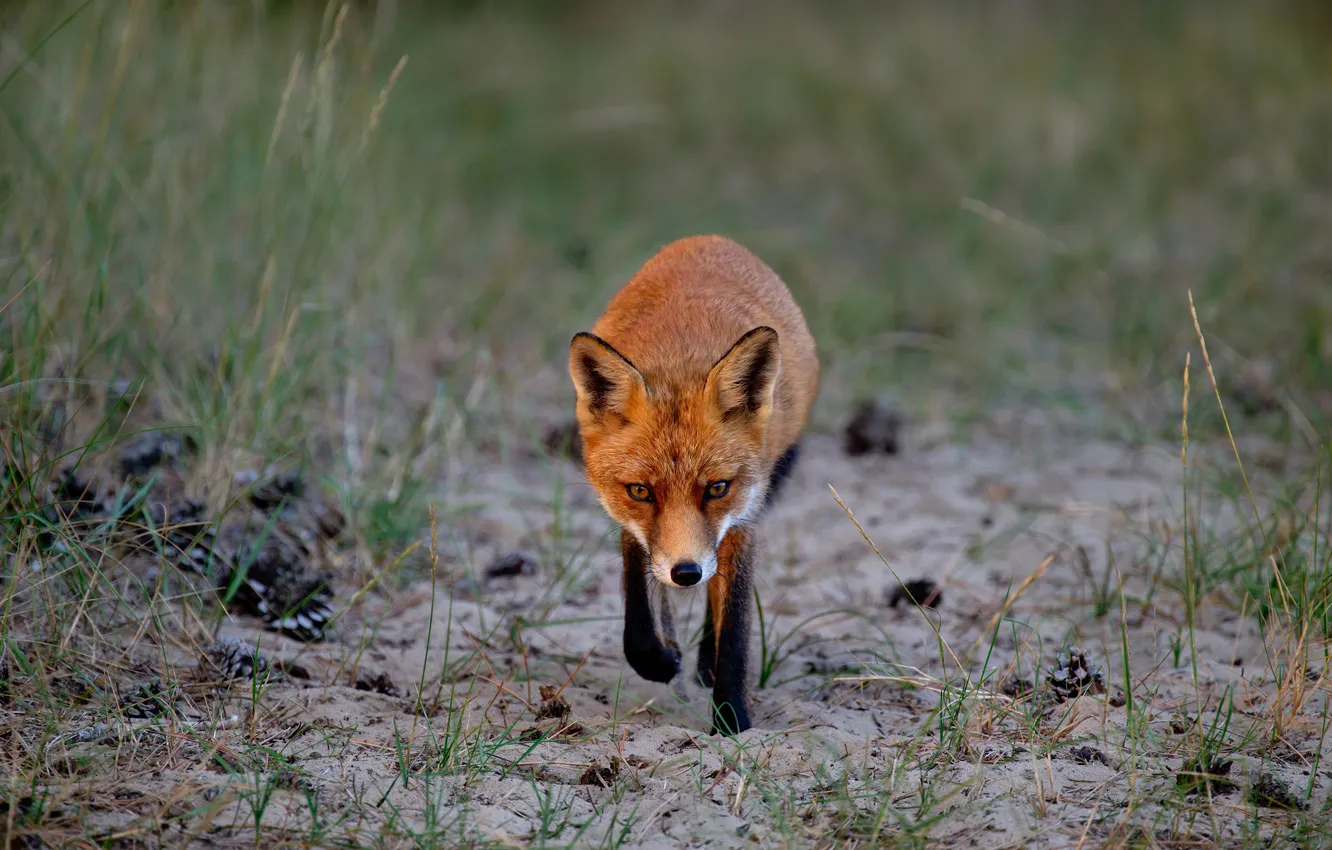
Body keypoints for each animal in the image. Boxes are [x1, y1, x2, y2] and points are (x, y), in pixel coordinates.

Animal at [567, 235, 819, 735]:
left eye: (717, 488)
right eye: (641, 491)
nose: (686, 573)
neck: (677, 356)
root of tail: (709, 240)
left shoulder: (744, 516)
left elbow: (735, 624)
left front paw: (732, 717)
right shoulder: (633, 525)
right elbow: (639, 602)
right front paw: (659, 657)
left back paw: (705, 662)